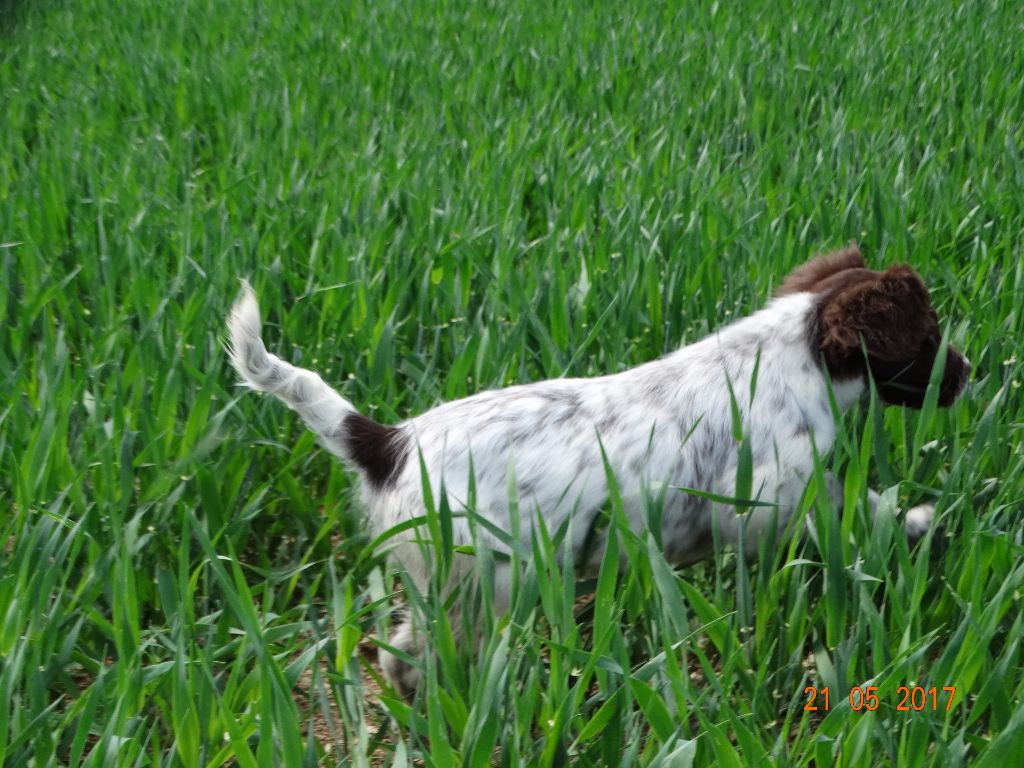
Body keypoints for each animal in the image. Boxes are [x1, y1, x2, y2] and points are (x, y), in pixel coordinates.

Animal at [226, 247, 966, 696]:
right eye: (928, 337)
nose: (970, 374)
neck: (796, 355)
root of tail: (391, 442)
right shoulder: (774, 499)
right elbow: (855, 509)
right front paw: (917, 520)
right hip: (490, 580)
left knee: (398, 650)